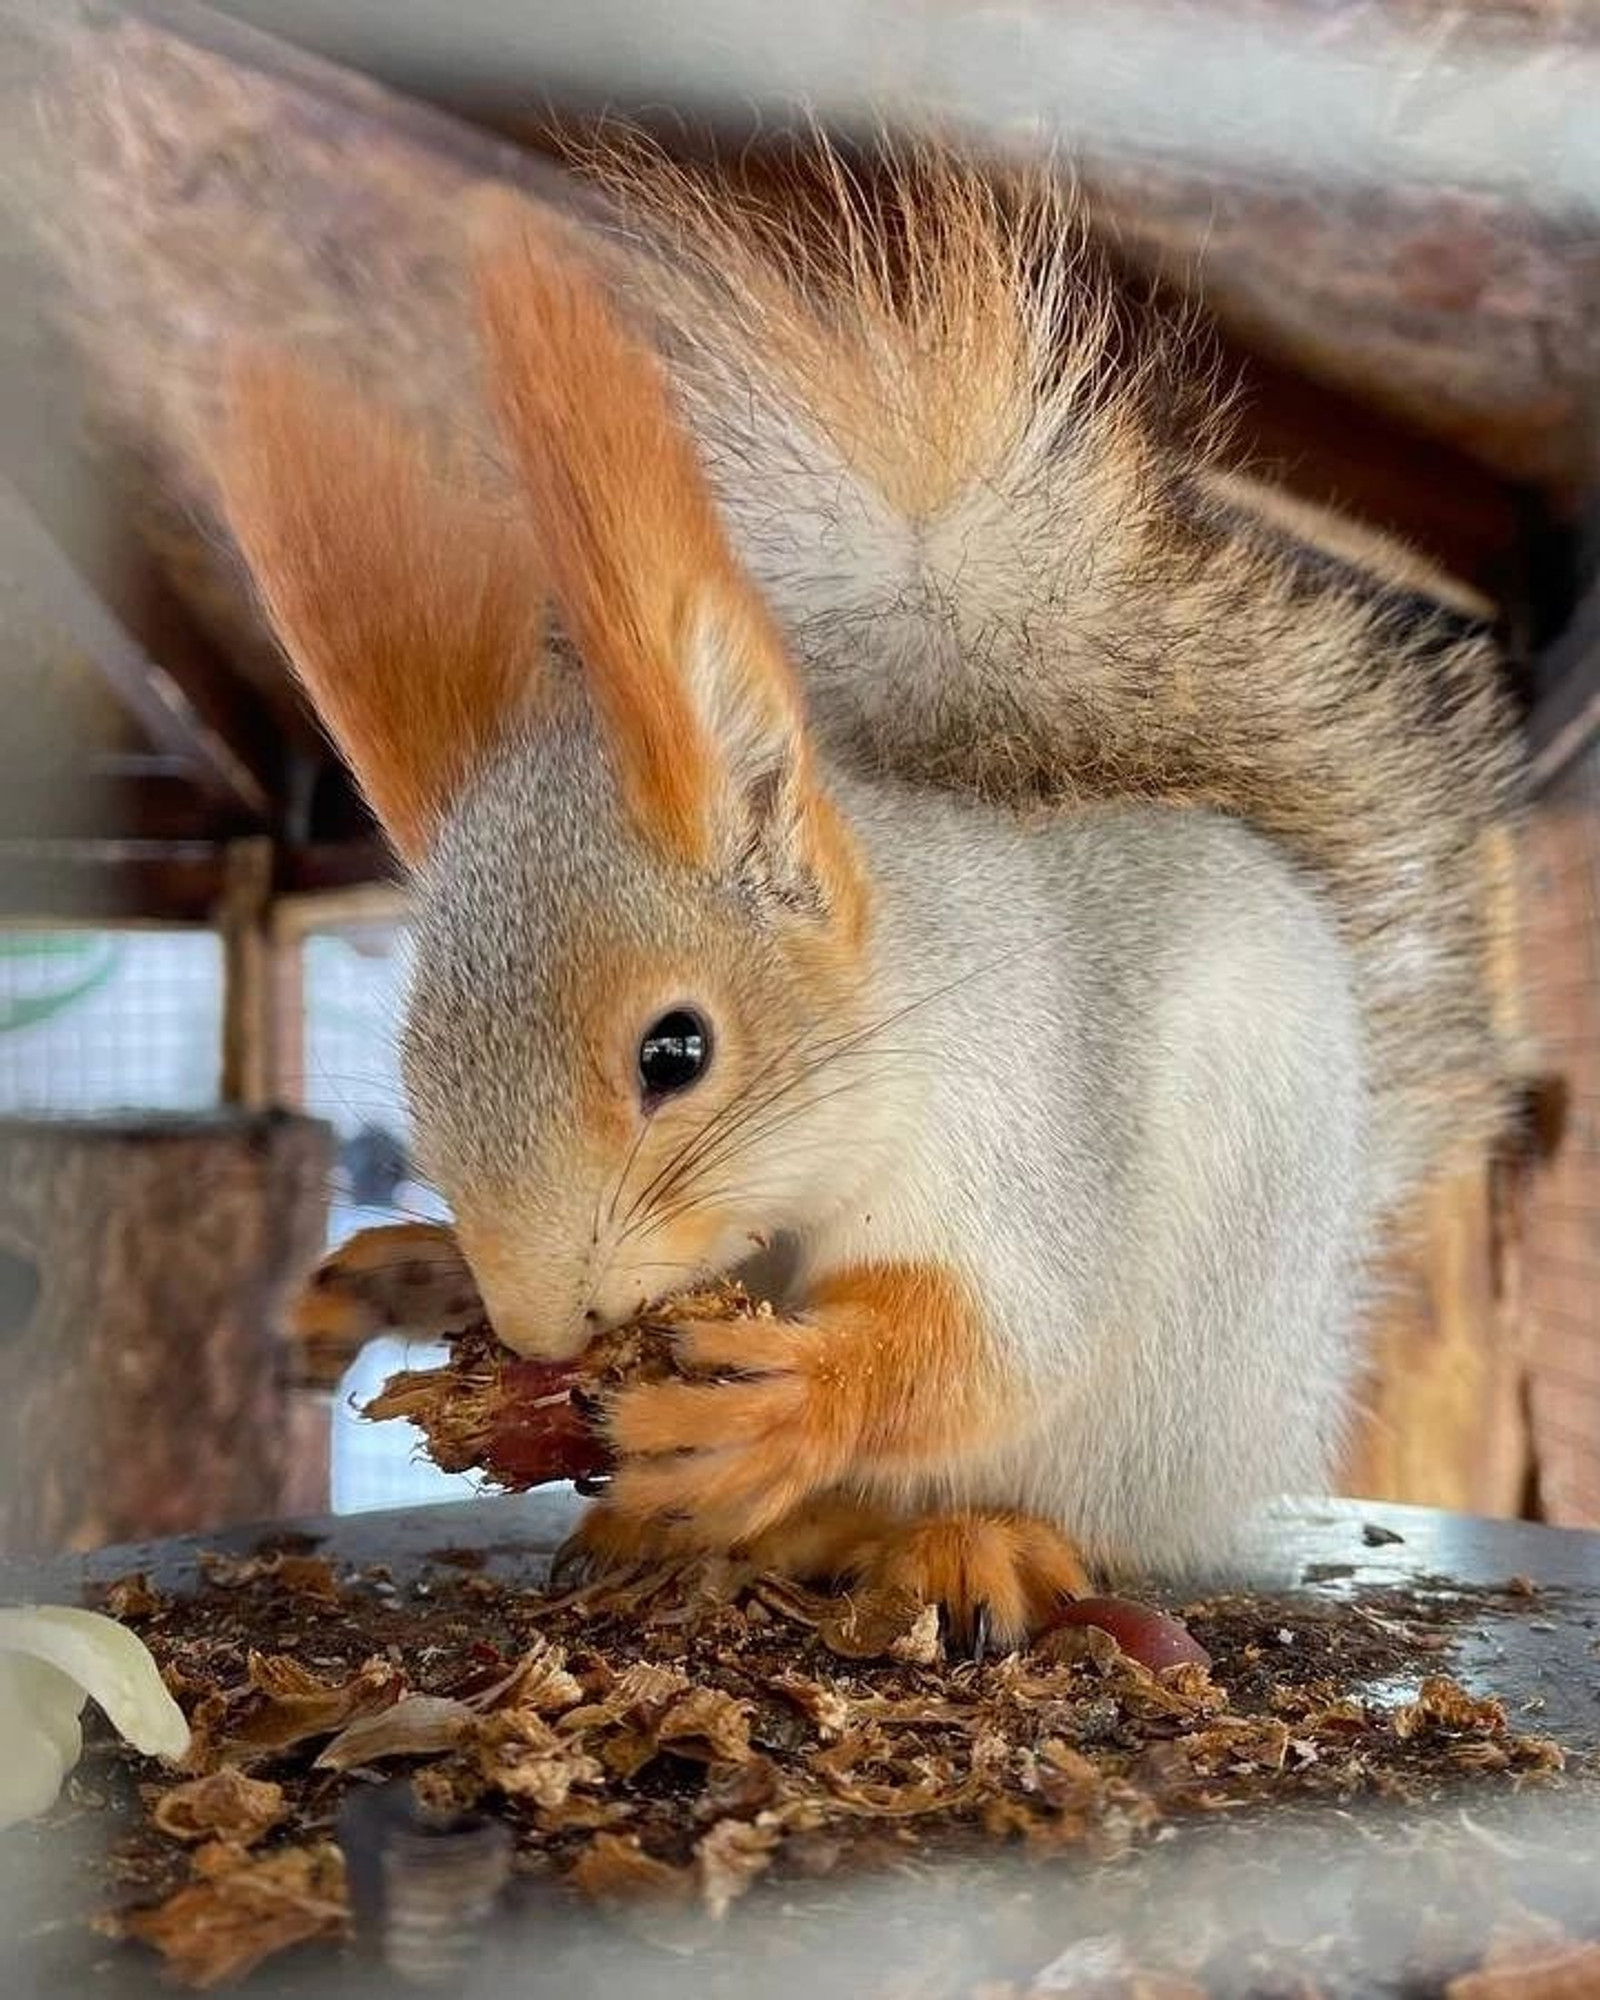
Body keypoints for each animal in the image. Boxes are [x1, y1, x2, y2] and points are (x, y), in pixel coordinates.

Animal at [219, 137, 1520, 1640]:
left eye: (677, 1051)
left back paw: (945, 1536)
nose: (544, 1332)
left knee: (1072, 1503)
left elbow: (1005, 1338)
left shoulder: (1025, 1126)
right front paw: (404, 1274)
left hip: (1164, 1398)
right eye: (417, 1069)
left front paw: (794, 1399)